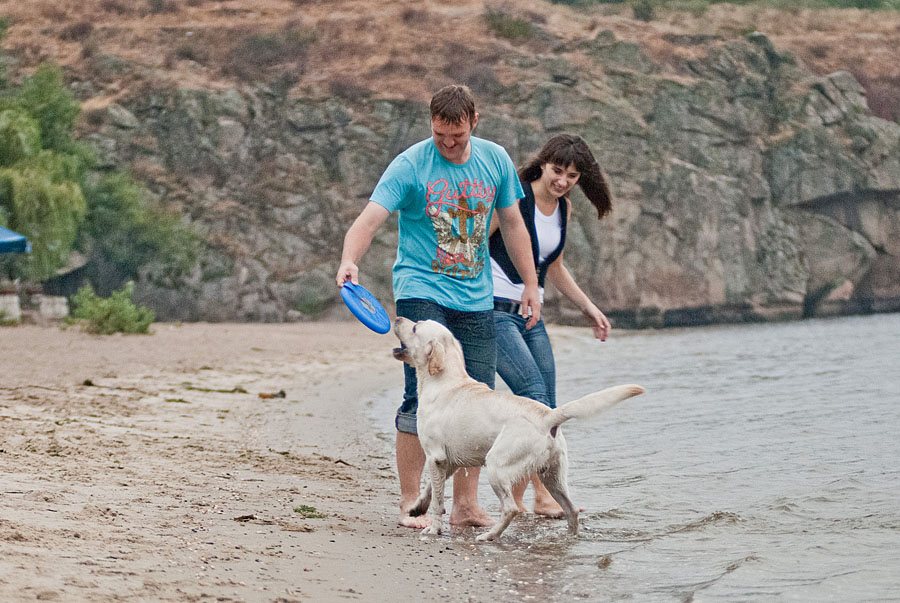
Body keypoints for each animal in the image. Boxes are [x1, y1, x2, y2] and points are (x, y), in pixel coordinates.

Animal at [392, 317, 645, 541]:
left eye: (415, 327)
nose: (397, 318)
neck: (444, 380)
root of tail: (547, 417)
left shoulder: (436, 456)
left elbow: (437, 500)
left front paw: (433, 529)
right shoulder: (449, 462)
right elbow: (429, 488)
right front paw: (416, 508)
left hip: (497, 466)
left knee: (511, 508)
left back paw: (489, 536)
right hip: (552, 475)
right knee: (571, 510)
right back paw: (569, 538)